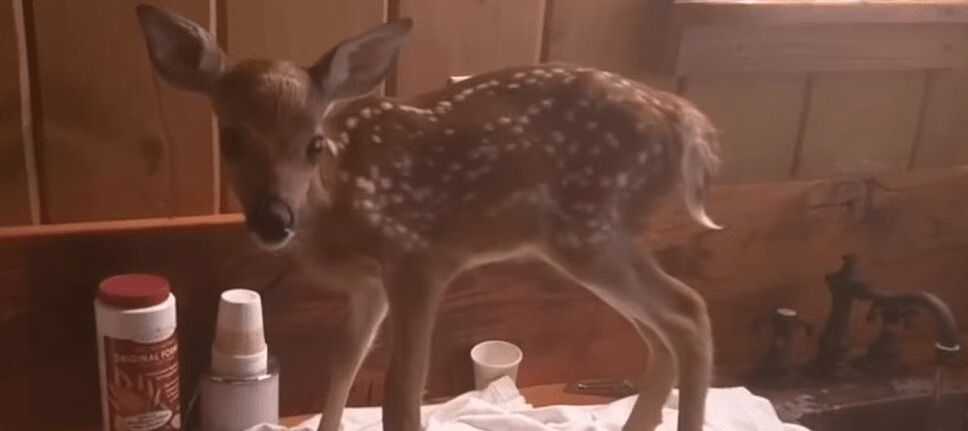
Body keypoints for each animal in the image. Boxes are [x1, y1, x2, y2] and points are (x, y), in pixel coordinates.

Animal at [137, 5, 721, 431]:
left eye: (313, 143)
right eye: (230, 138)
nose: (275, 219)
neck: (338, 204)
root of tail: (686, 121)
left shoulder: (418, 256)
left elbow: (401, 395)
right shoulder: (368, 287)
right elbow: (342, 368)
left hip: (591, 229)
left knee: (688, 313)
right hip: (596, 238)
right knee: (661, 335)